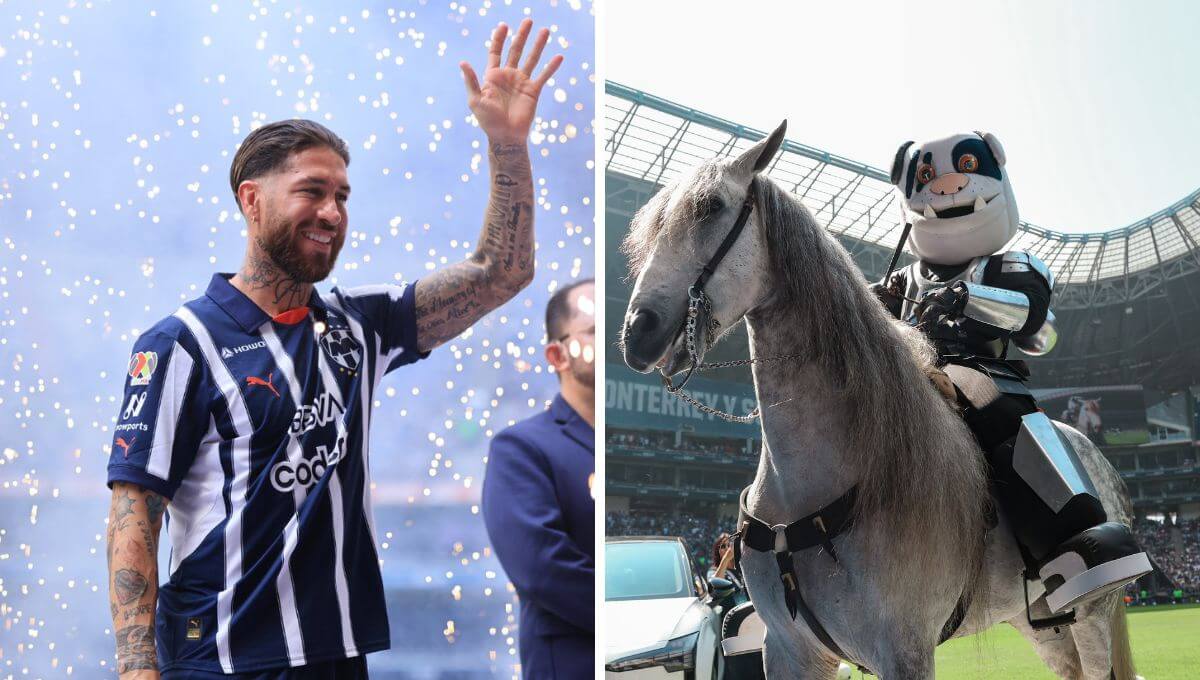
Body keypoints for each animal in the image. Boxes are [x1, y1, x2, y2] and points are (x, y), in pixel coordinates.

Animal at [624, 122, 1137, 680]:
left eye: (711, 206)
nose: (636, 333)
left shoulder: (905, 650)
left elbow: (1033, 309)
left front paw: (953, 298)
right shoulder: (788, 649)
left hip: (1091, 616)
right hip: (1041, 622)